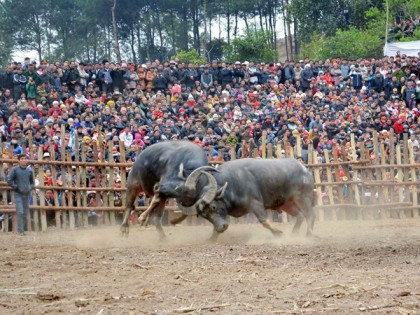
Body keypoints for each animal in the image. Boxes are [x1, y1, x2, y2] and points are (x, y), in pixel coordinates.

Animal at [173, 158, 316, 242]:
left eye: (213, 207)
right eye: (204, 216)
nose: (222, 228)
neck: (232, 184)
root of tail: (305, 170)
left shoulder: (256, 204)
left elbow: (264, 221)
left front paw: (278, 233)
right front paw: (212, 238)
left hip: (303, 197)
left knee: (309, 214)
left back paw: (309, 234)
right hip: (287, 204)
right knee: (300, 216)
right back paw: (294, 234)